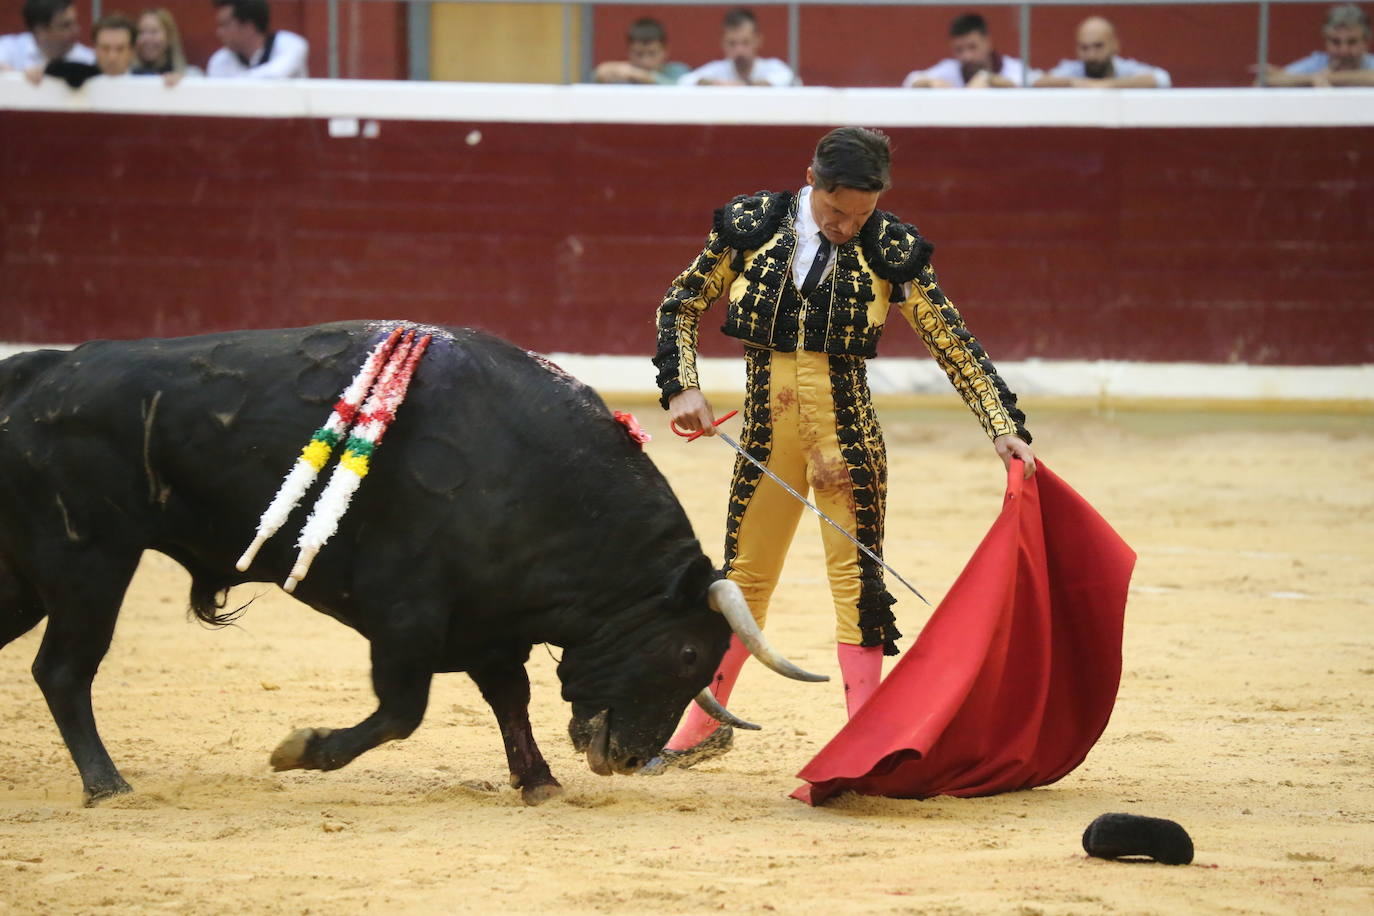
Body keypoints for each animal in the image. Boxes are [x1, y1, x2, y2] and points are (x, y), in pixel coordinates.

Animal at [0, 321, 813, 802]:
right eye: (688, 654)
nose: (630, 757)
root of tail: (40, 373)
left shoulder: (489, 626)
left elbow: (509, 700)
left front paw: (538, 782)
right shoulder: (406, 619)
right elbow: (403, 710)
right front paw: (300, 751)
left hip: (34, 576)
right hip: (88, 562)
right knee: (64, 671)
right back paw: (107, 784)